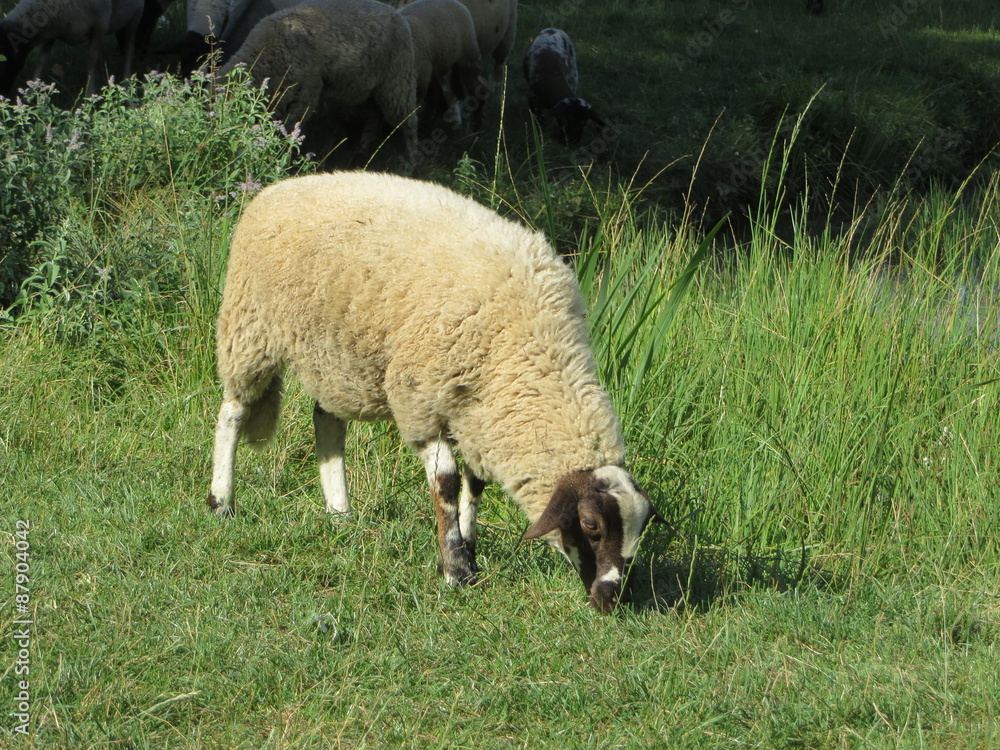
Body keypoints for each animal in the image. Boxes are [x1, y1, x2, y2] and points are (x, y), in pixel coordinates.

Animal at [0, 0, 144, 97]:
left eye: (4, 63)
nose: (4, 94)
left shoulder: (100, 26)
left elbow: (91, 58)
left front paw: (88, 96)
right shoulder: (52, 32)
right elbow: (41, 60)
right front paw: (30, 93)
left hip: (136, 15)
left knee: (128, 49)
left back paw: (127, 86)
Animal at [208, 171, 661, 613]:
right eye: (591, 526)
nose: (612, 599)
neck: (534, 350)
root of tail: (282, 187)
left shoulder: (480, 410)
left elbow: (476, 484)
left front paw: (469, 551)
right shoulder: (419, 399)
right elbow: (446, 482)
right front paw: (455, 569)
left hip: (335, 354)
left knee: (327, 422)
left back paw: (340, 513)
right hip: (250, 327)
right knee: (234, 411)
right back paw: (221, 502)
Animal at [217, 0, 418, 165]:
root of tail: (393, 11)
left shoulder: (306, 95)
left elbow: (290, 132)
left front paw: (283, 161)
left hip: (397, 81)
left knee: (409, 121)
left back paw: (413, 162)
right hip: (359, 90)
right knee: (374, 116)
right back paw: (361, 152)